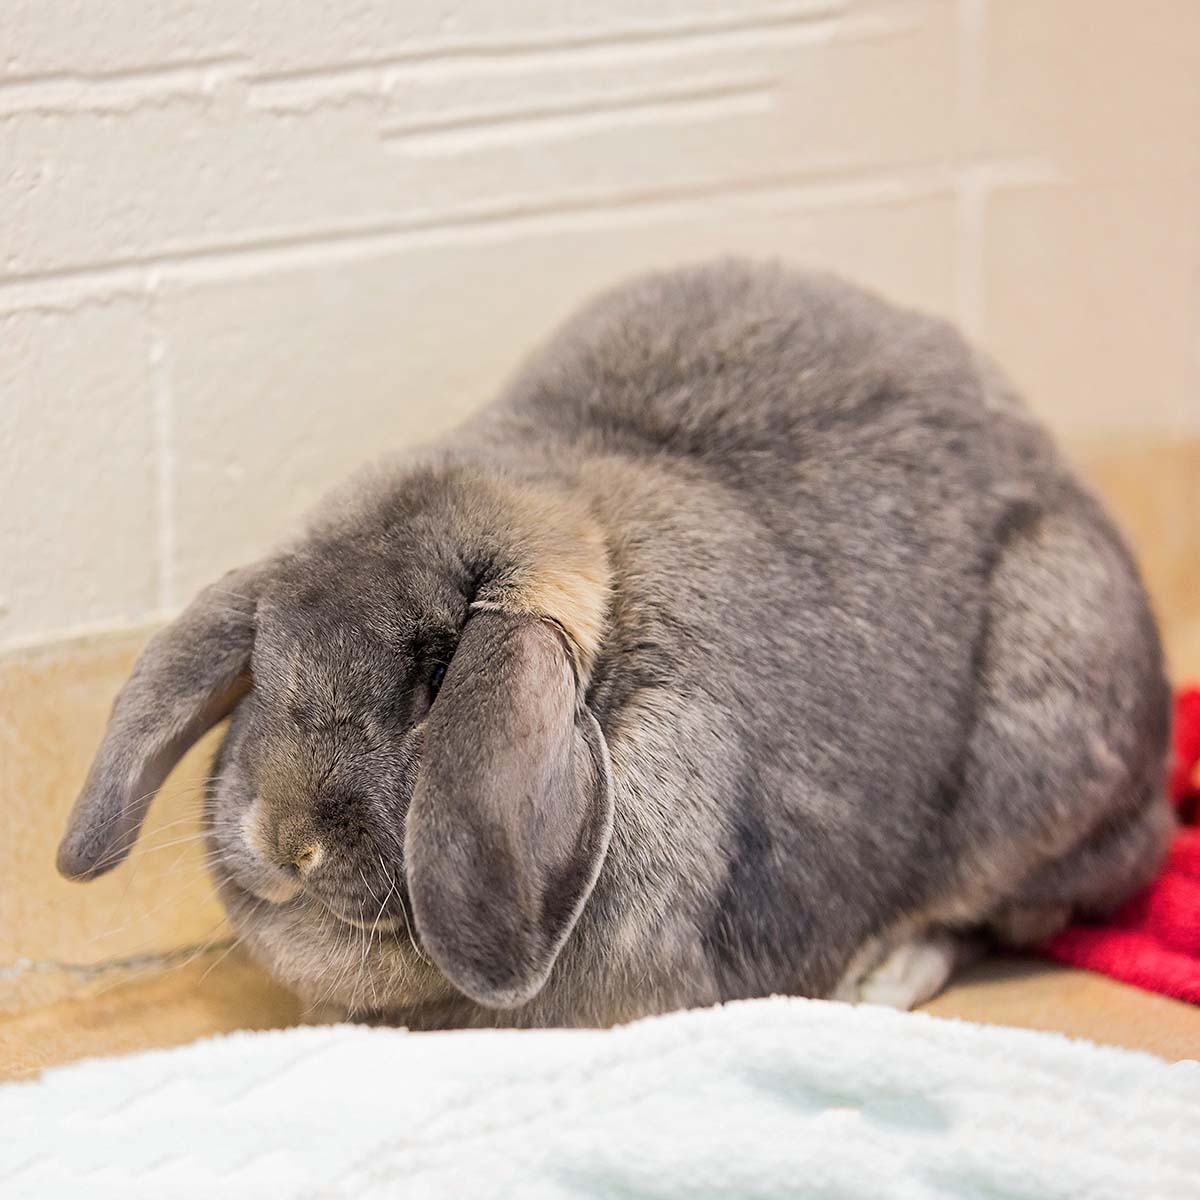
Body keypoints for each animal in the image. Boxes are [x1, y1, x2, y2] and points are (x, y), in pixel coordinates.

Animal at [57, 260, 1173, 1027]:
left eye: (433, 680)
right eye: (268, 664)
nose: (287, 842)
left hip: (1042, 752)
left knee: (991, 910)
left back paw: (879, 978)